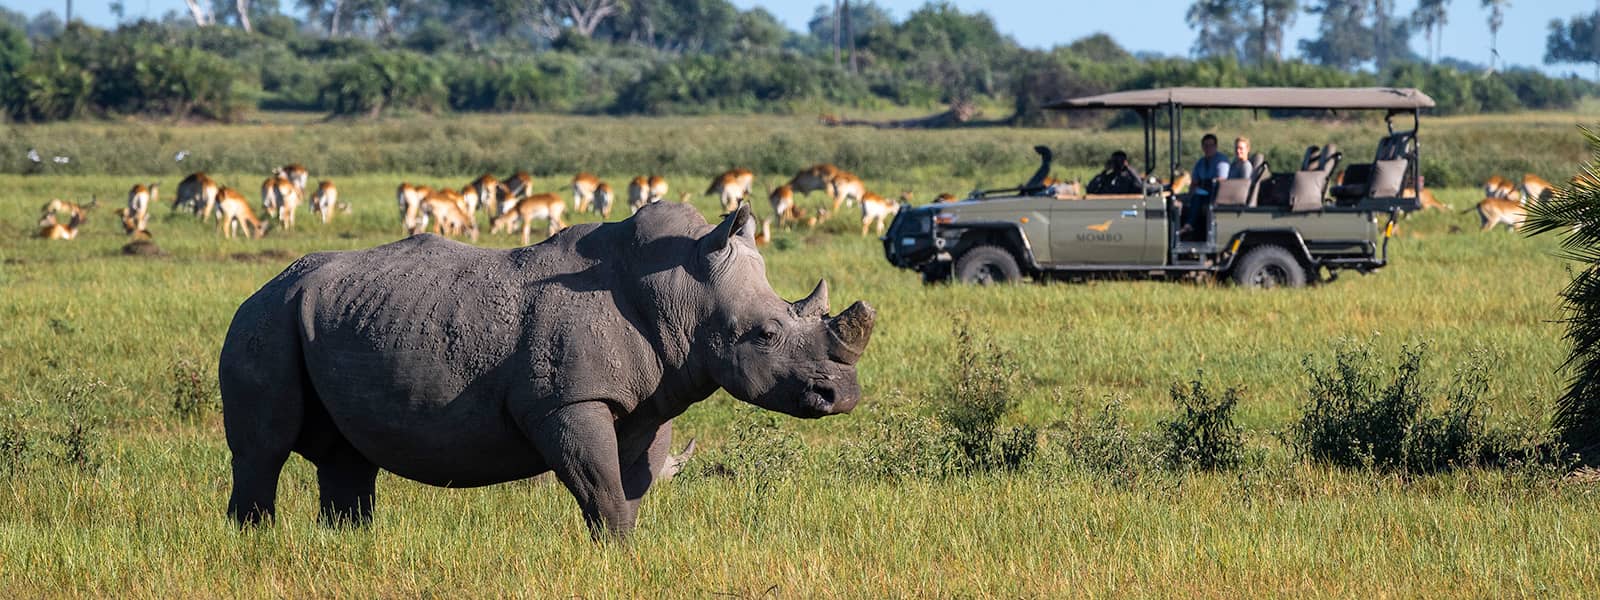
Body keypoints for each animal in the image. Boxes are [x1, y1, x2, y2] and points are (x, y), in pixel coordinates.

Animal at [218, 203, 875, 538]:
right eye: (765, 335)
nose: (842, 394)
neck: (681, 287)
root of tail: (263, 285)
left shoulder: (650, 398)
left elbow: (632, 485)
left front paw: (625, 555)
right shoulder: (567, 400)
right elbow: (601, 486)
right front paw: (616, 554)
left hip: (323, 315)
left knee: (348, 455)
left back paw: (349, 547)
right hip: (263, 322)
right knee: (263, 450)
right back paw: (256, 547)